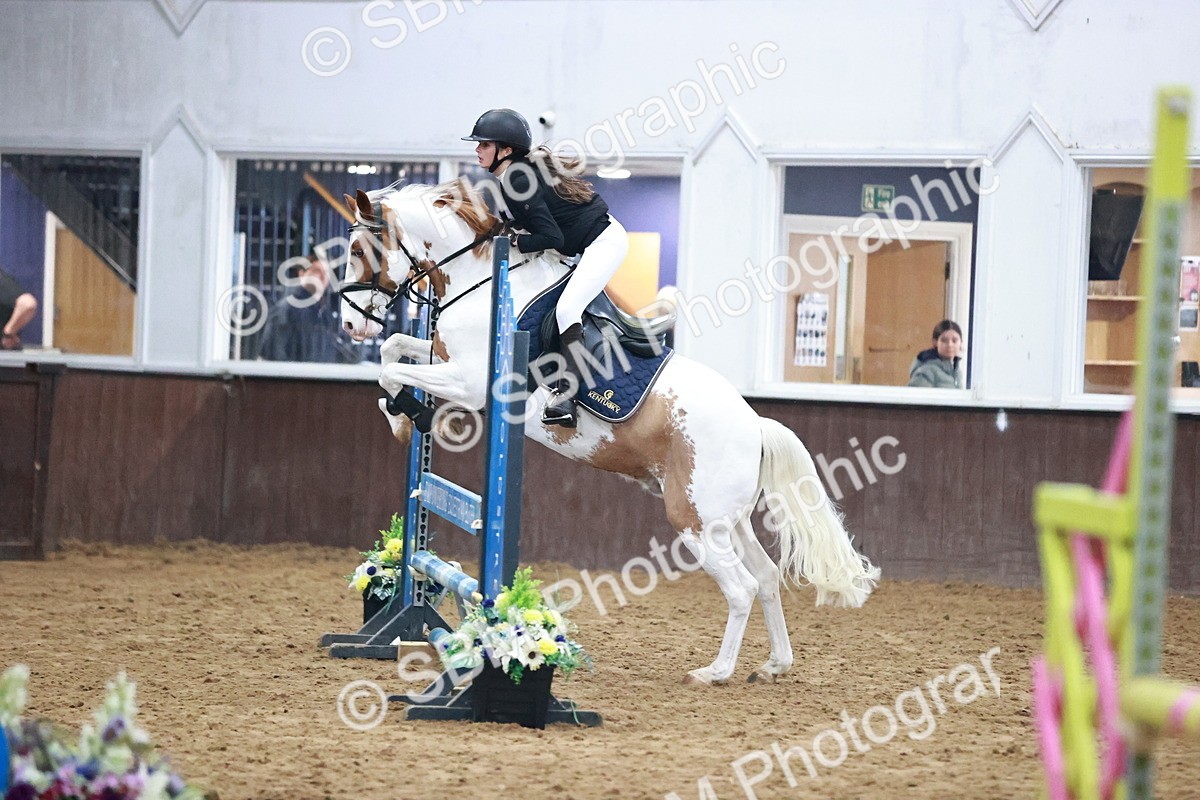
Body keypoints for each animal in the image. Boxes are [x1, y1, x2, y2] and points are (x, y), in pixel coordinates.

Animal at [338, 179, 880, 686]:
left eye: (358, 250)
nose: (348, 325)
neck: (480, 281)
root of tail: (755, 426)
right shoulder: (443, 360)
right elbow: (394, 349)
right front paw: (400, 415)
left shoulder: (470, 382)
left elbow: (394, 366)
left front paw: (407, 413)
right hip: (728, 519)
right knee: (766, 579)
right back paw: (774, 664)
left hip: (696, 520)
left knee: (742, 587)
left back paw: (715, 671)